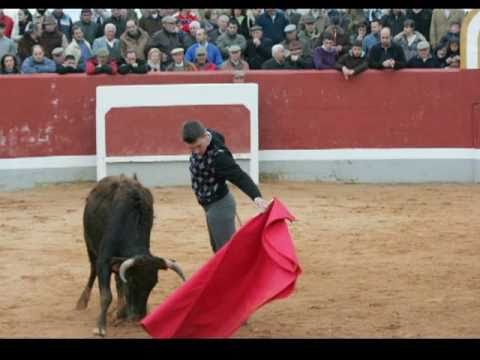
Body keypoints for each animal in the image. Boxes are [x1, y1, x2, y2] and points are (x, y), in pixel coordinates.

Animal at [75, 175, 186, 338]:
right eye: (133, 282)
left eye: (153, 284)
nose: (138, 317)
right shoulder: (104, 261)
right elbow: (106, 295)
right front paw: (100, 327)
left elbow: (120, 283)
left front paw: (120, 314)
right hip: (89, 245)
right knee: (92, 271)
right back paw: (82, 302)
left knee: (117, 280)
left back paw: (119, 312)